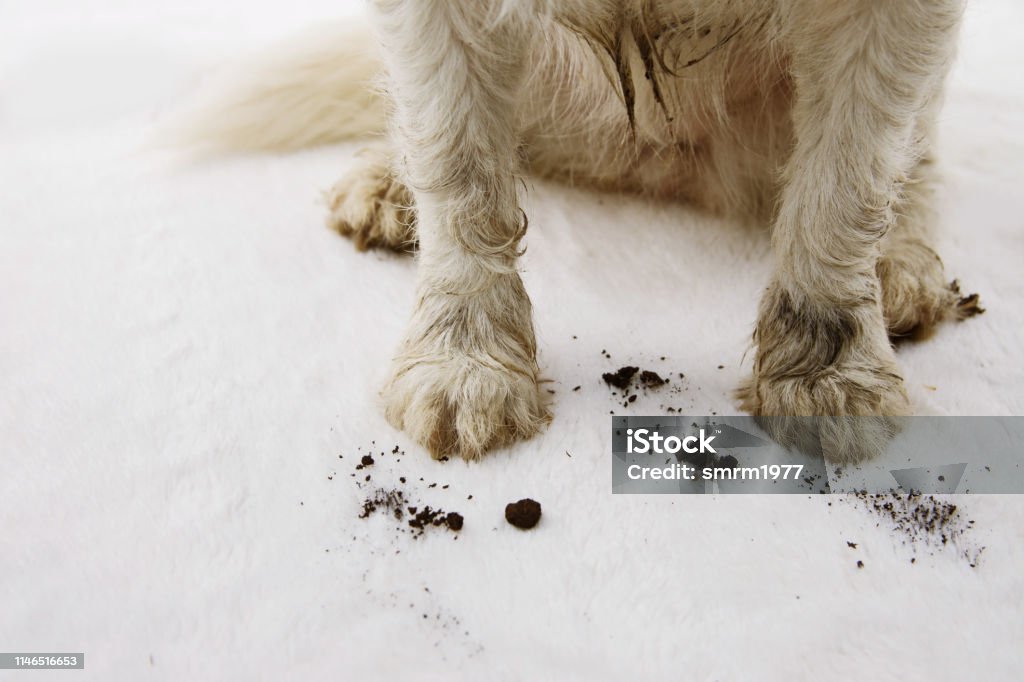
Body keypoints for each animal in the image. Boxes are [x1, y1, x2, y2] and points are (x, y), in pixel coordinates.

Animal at [186, 0, 983, 462]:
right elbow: (455, 162)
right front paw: (464, 363)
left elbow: (847, 179)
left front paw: (828, 373)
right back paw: (388, 183)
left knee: (914, 151)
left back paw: (903, 265)